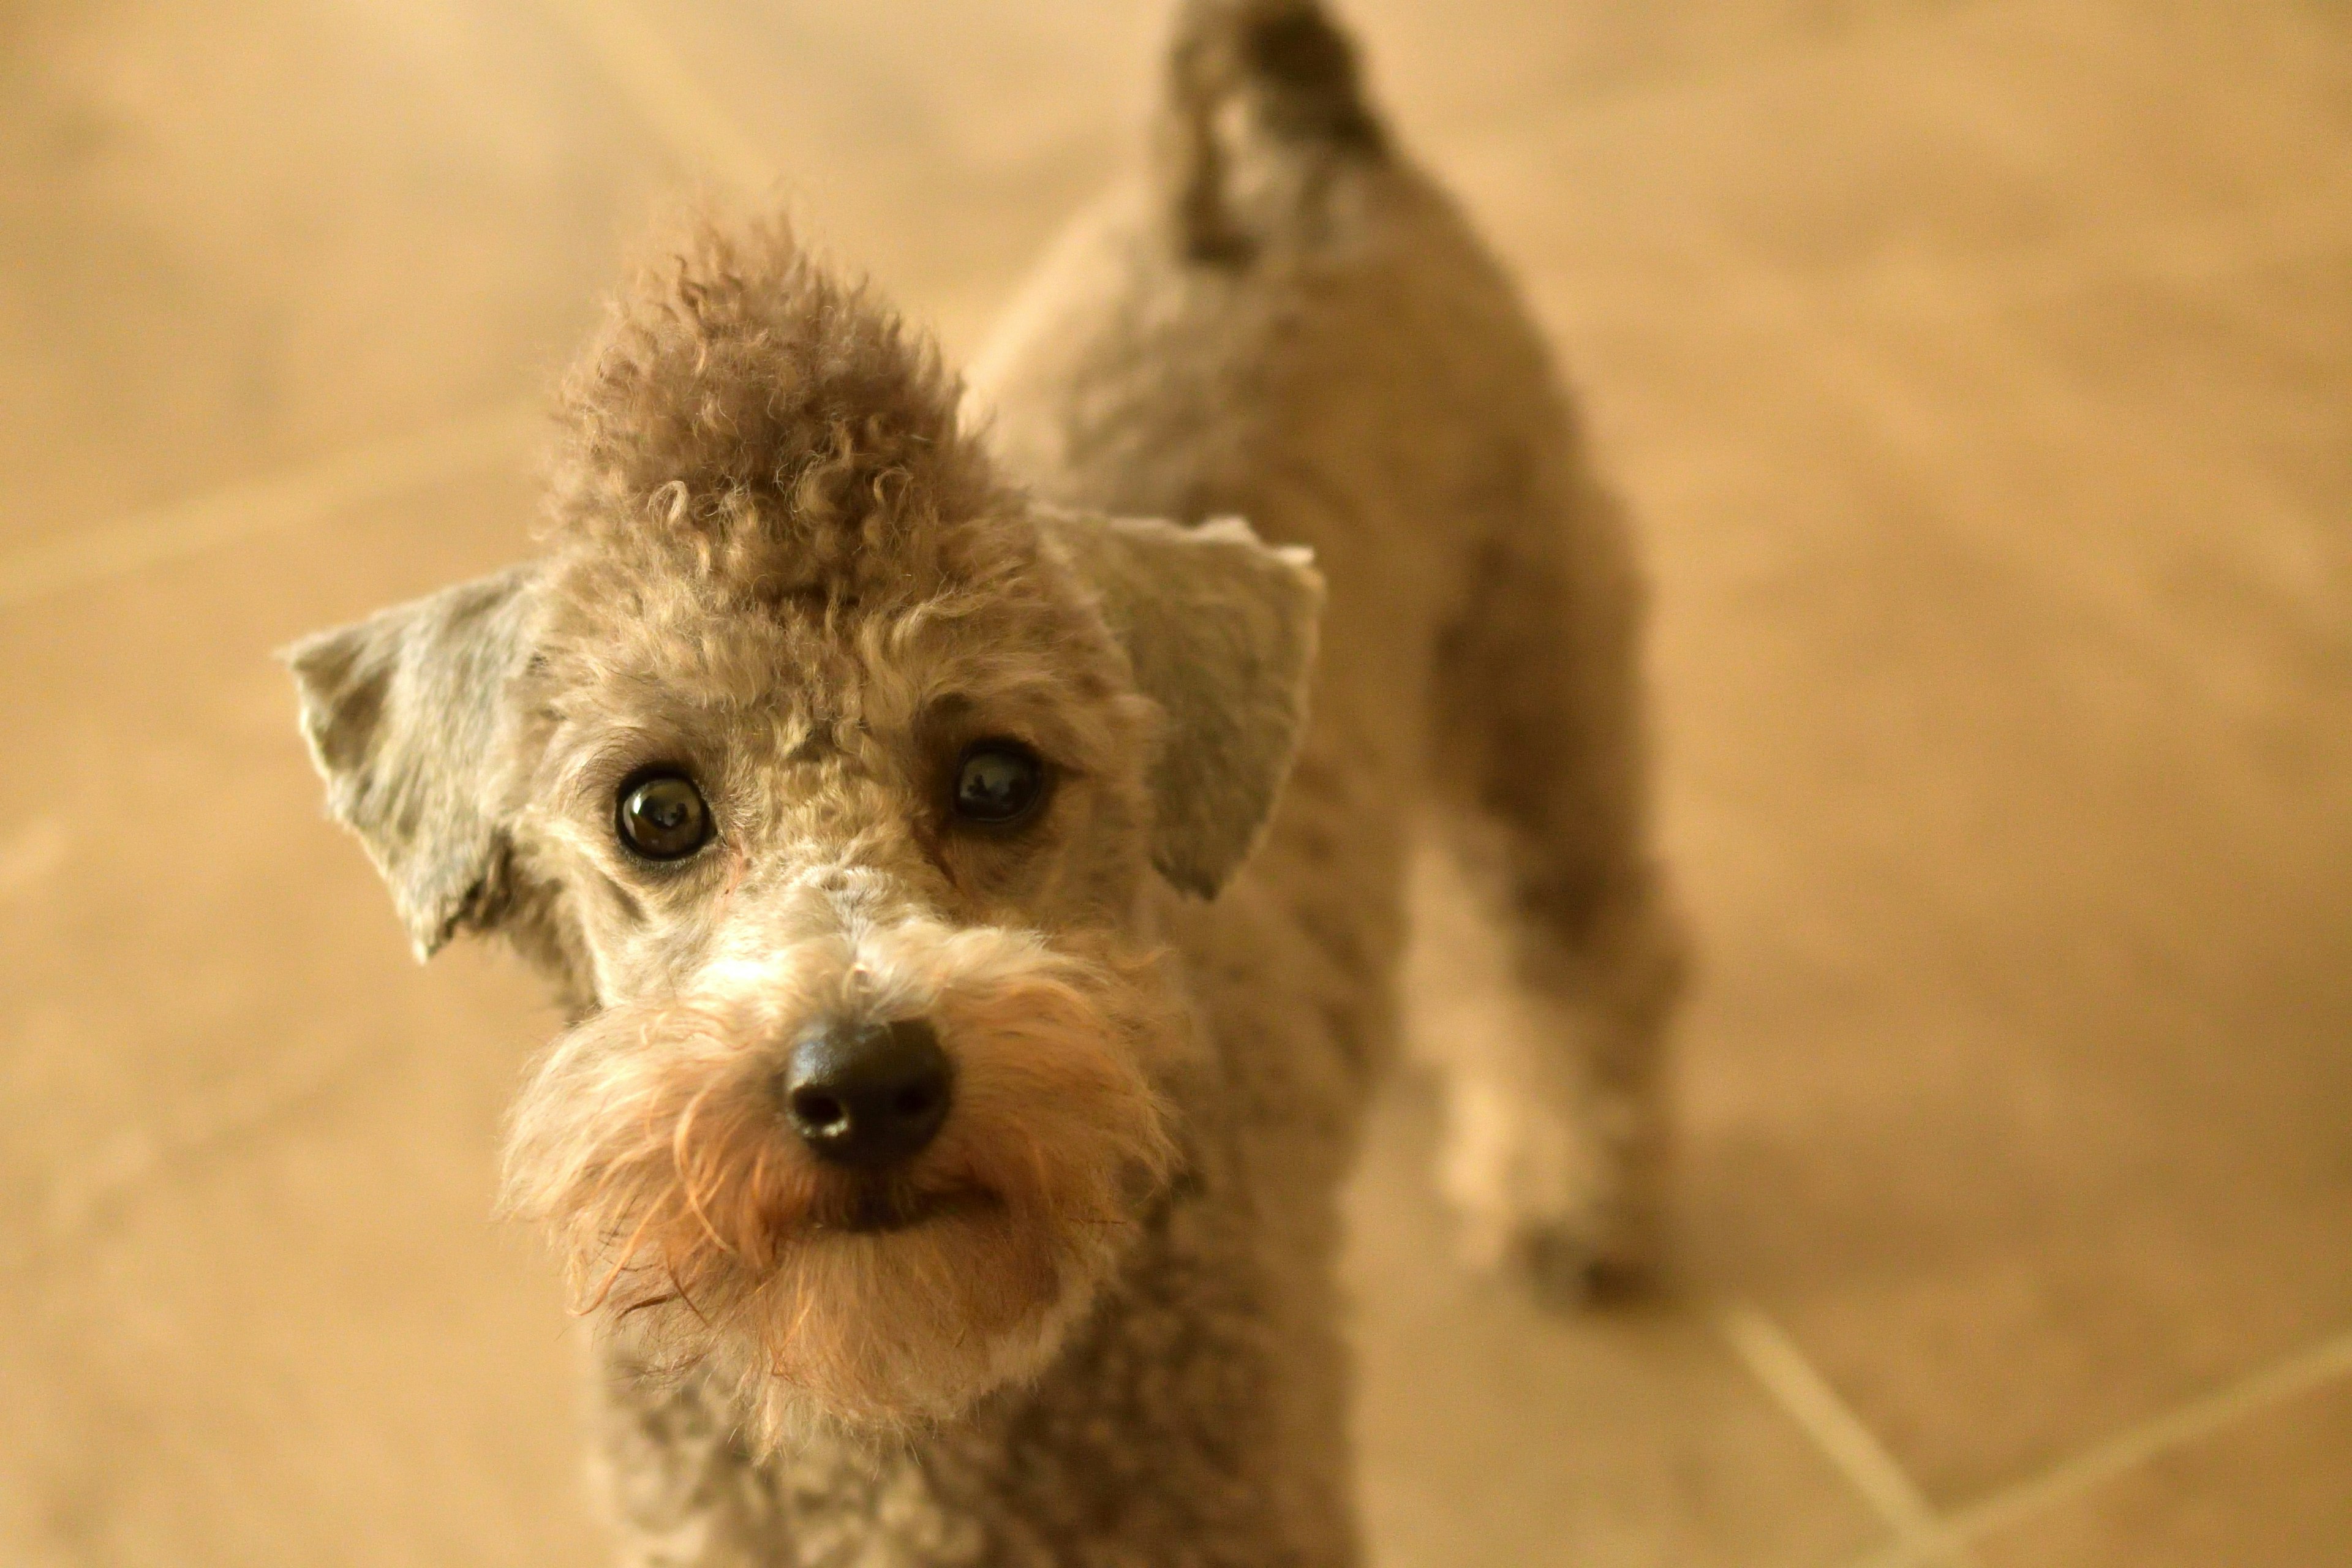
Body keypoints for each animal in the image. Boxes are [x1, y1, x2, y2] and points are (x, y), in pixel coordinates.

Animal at [284, 3, 1684, 1561]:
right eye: (654, 809)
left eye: (1000, 775)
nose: (863, 1081)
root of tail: (1279, 157)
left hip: (1531, 685)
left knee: (1572, 947)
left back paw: (1557, 1185)